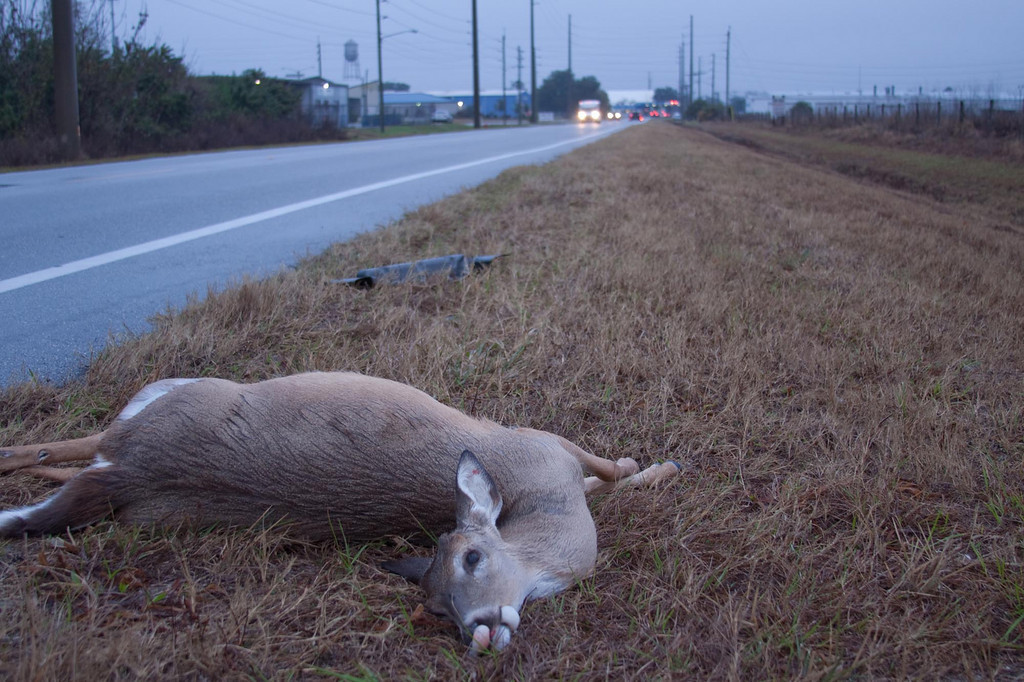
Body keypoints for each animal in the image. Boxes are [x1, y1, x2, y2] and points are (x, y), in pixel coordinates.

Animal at [2, 372, 679, 647]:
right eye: (439, 606)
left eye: (470, 559)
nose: (479, 628)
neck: (543, 509)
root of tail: (128, 473)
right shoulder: (542, 441)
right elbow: (610, 472)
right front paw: (662, 467)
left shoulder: (550, 452)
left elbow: (606, 475)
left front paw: (656, 467)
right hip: (183, 390)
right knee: (78, 446)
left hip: (144, 457)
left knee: (61, 455)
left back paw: (14, 459)